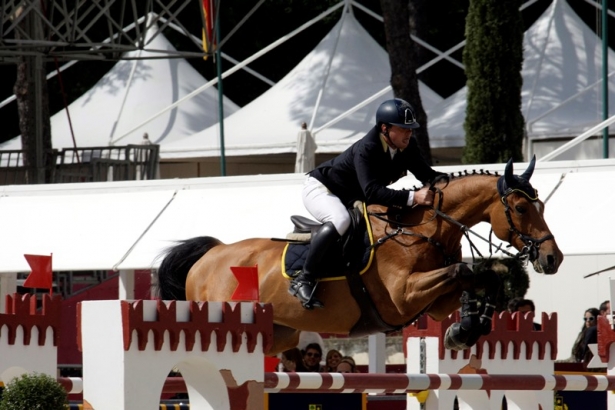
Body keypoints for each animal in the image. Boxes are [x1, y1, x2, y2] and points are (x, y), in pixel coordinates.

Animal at [155, 159, 564, 354]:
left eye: (542, 205)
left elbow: (478, 277)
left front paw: (465, 329)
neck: (424, 229)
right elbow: (463, 272)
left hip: (279, 334)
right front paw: (466, 327)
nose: (552, 258)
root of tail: (210, 255)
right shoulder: (402, 296)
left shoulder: (430, 303)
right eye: (521, 208)